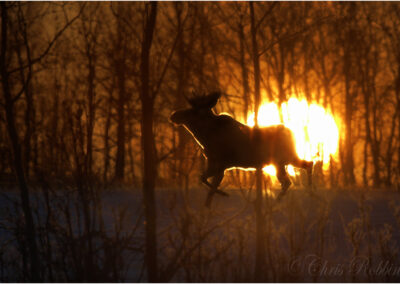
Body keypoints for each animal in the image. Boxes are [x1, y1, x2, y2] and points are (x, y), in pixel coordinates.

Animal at [169, 92, 312, 207]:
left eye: (193, 110)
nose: (173, 115)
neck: (205, 137)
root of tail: (292, 133)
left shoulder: (220, 165)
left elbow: (207, 183)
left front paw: (223, 194)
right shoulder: (215, 164)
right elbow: (204, 182)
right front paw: (209, 205)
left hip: (282, 160)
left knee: (293, 177)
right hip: (284, 161)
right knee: (305, 167)